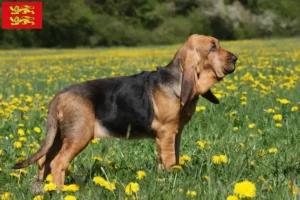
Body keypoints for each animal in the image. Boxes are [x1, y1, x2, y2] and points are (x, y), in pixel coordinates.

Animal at [12, 34, 238, 189]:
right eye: (213, 47)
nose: (235, 58)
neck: (176, 80)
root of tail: (58, 96)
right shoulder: (166, 133)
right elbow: (169, 160)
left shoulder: (175, 133)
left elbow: (171, 158)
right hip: (78, 135)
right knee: (58, 162)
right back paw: (60, 191)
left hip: (60, 136)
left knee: (45, 160)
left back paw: (43, 188)